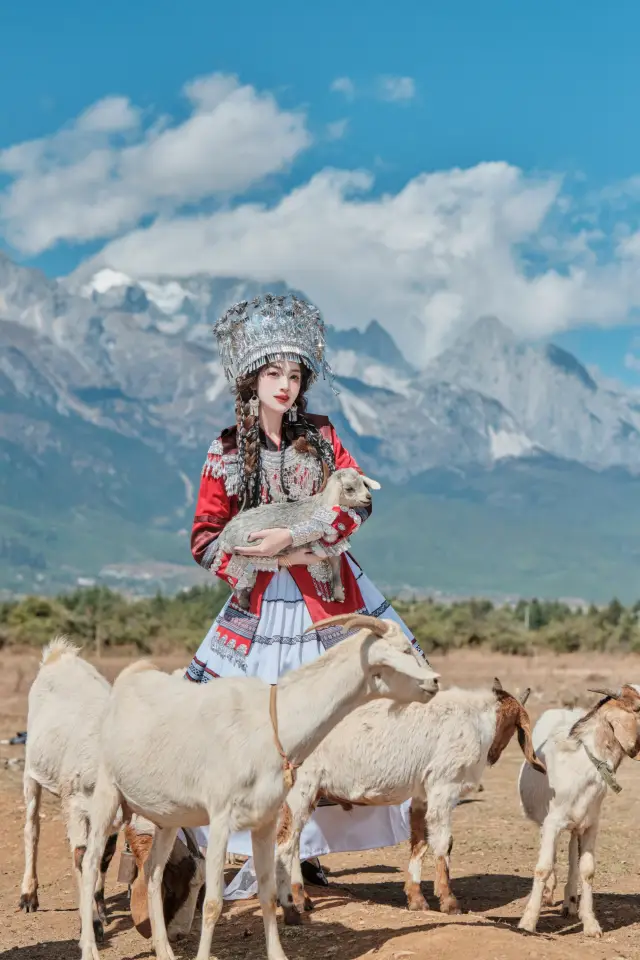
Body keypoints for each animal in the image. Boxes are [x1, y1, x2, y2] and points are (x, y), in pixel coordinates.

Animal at [75, 616, 438, 960]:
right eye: (404, 650)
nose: (435, 680)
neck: (270, 724)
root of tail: (130, 677)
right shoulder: (220, 819)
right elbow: (213, 903)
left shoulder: (264, 820)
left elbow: (267, 894)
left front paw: (278, 953)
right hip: (107, 791)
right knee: (90, 864)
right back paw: (90, 948)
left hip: (167, 817)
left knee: (152, 871)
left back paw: (164, 951)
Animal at [215, 466, 380, 608]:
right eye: (349, 489)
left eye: (364, 484)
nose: (368, 497)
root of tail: (224, 534)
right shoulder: (324, 545)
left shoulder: (333, 548)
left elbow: (336, 568)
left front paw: (339, 595)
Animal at [272, 676, 544, 916]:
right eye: (511, 725)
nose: (494, 755)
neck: (476, 719)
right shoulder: (444, 786)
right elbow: (444, 842)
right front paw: (449, 902)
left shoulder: (423, 793)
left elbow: (419, 840)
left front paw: (417, 899)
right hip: (302, 786)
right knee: (286, 841)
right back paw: (295, 900)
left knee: (295, 840)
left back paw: (301, 898)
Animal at [516, 684, 640, 936]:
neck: (584, 767)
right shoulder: (552, 823)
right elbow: (543, 867)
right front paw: (528, 922)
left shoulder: (591, 824)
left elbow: (587, 869)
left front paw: (591, 923)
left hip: (577, 825)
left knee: (573, 854)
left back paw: (570, 903)